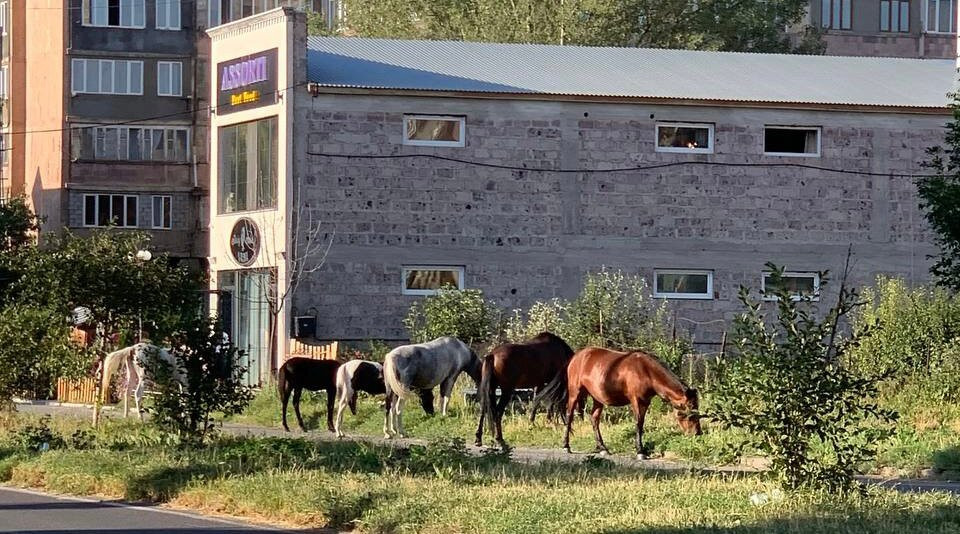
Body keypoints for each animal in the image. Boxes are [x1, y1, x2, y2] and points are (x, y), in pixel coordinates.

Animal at [536, 348, 700, 460]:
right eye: (690, 414)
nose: (697, 433)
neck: (646, 371)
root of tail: (576, 357)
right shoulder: (637, 401)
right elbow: (638, 424)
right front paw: (640, 451)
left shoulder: (645, 402)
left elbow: (641, 424)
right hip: (575, 392)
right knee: (570, 416)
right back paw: (566, 446)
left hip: (597, 398)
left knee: (594, 418)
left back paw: (602, 448)